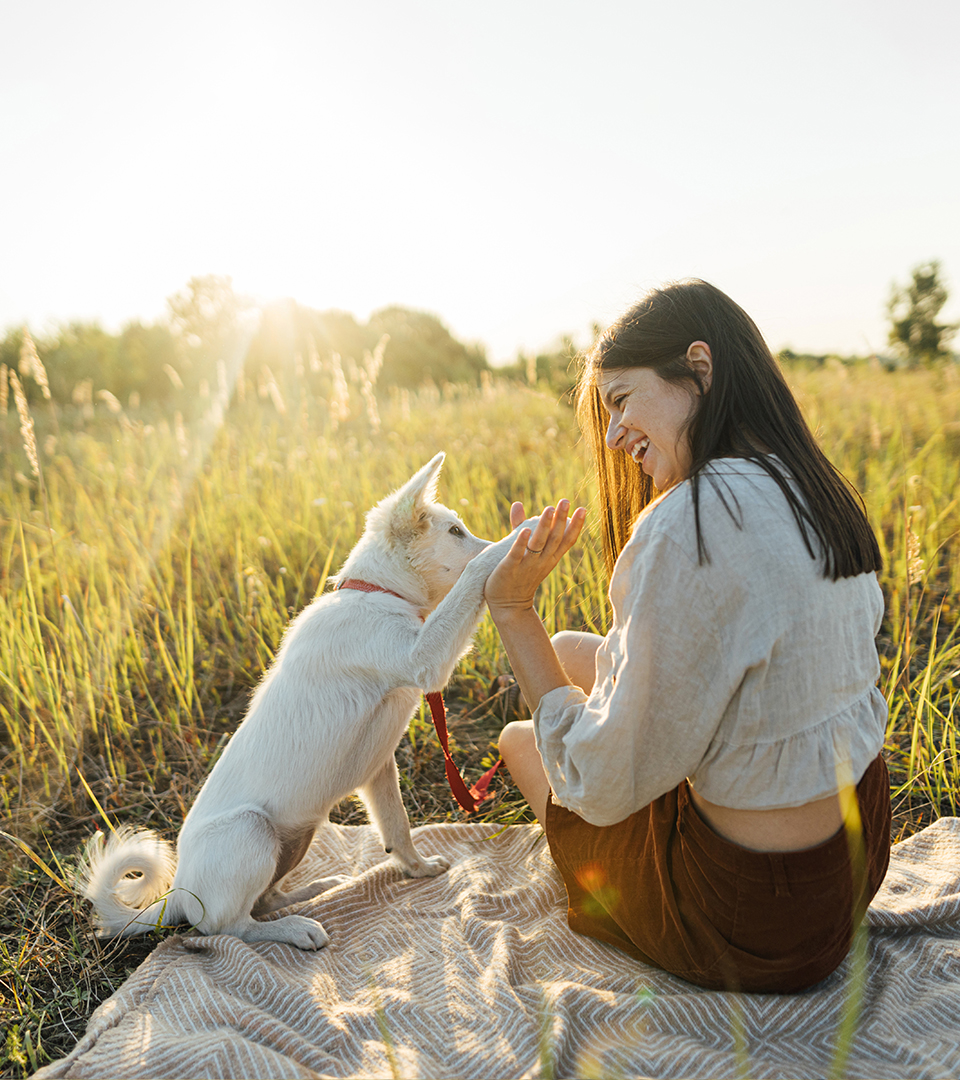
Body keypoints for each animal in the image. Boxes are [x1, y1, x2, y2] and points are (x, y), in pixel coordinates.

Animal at [78, 451, 535, 950]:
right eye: (455, 531)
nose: (492, 535)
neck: (375, 595)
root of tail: (178, 894)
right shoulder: (424, 659)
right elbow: (473, 576)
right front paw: (514, 540)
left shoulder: (379, 768)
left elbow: (397, 826)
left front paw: (417, 870)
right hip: (252, 830)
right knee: (228, 927)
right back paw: (296, 928)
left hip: (297, 837)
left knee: (262, 901)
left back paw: (315, 890)